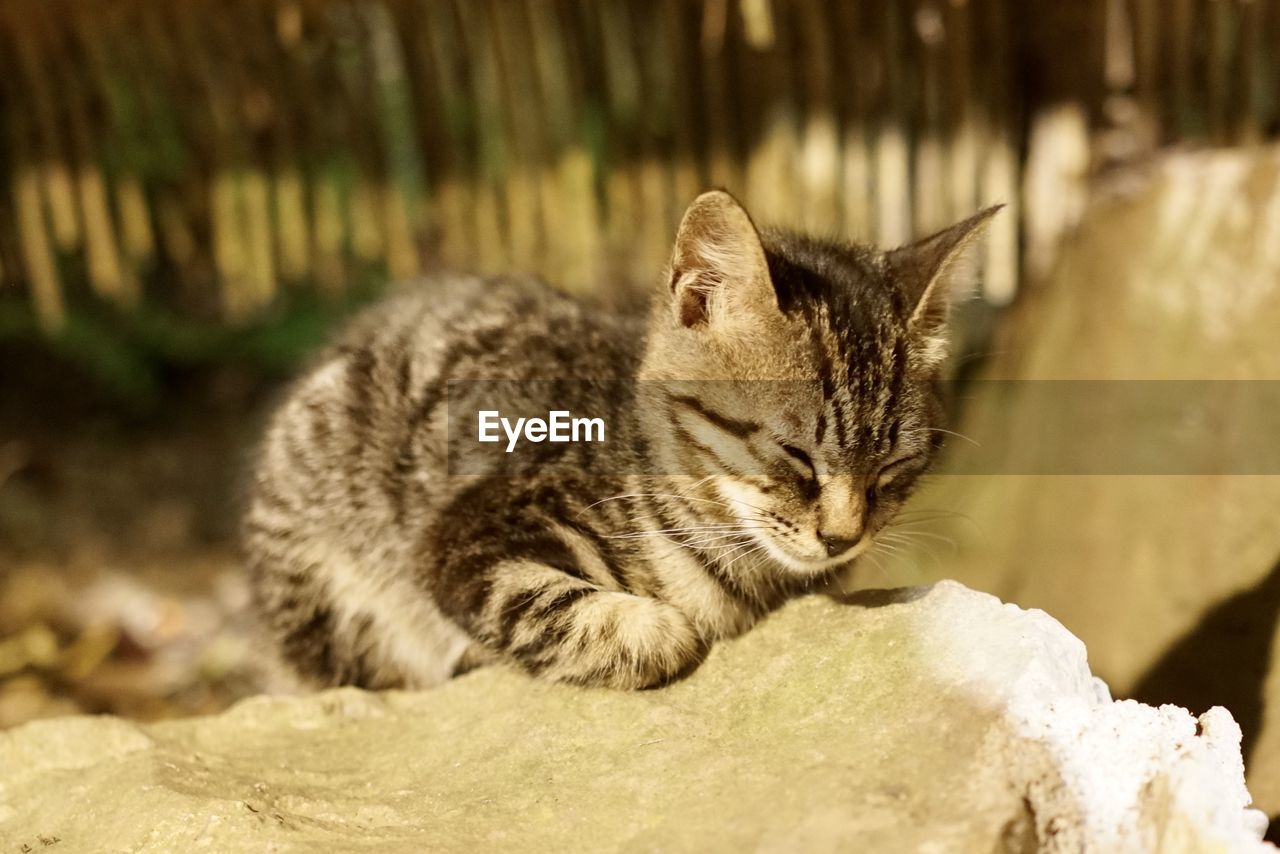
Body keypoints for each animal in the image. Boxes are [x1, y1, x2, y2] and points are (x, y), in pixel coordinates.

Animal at [241, 190, 998, 691]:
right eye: (794, 456)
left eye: (892, 465)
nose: (844, 538)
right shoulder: (460, 532)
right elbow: (576, 613)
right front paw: (664, 629)